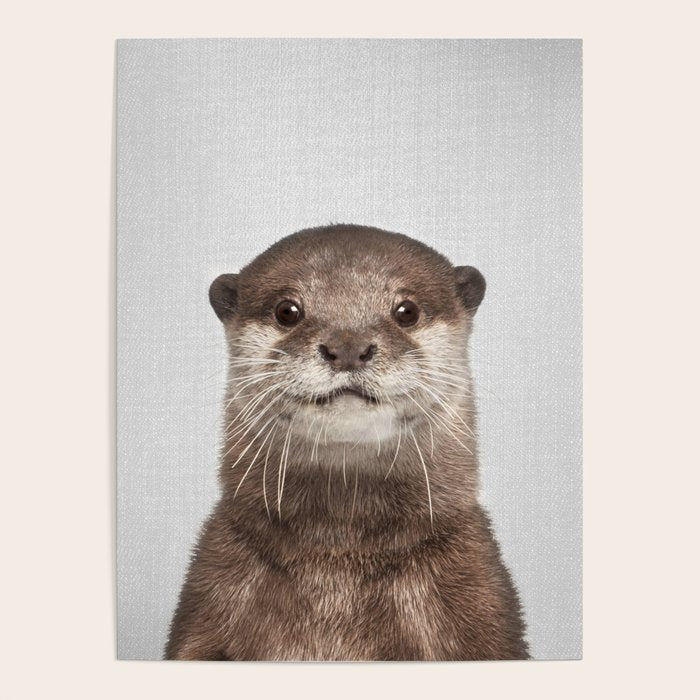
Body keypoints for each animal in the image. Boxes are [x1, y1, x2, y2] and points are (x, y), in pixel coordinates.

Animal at [165, 224, 528, 661]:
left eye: (407, 311)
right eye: (287, 311)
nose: (349, 347)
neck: (337, 568)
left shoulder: (480, 601)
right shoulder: (211, 595)